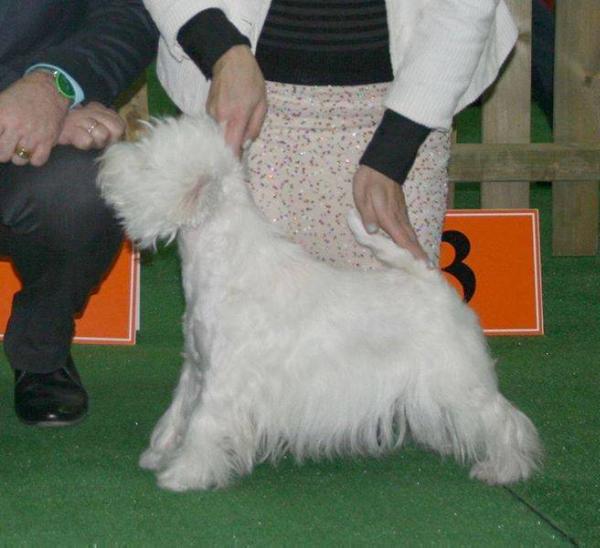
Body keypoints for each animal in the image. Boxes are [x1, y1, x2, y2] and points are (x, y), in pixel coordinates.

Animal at [97, 115, 540, 492]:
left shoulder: (224, 382)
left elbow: (203, 425)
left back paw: (504, 468)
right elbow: (178, 415)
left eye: (147, 161)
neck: (225, 261)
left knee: (502, 420)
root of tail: (429, 278)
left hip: (456, 378)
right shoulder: (197, 368)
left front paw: (185, 474)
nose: (108, 154)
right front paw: (160, 454)